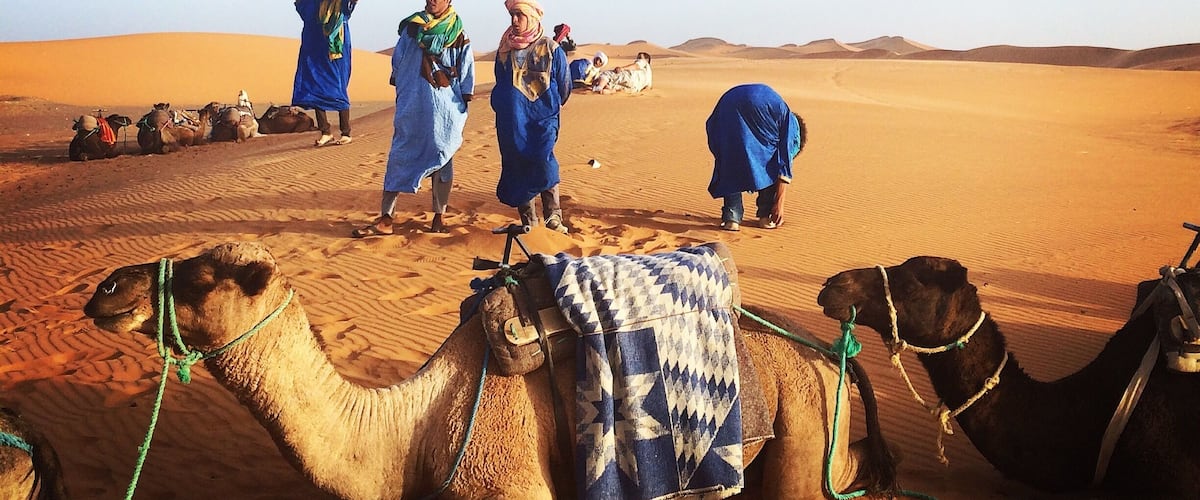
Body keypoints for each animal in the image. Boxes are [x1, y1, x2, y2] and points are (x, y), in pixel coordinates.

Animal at [83, 241, 897, 499]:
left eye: (199, 277)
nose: (106, 290)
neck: (409, 435)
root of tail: (828, 354)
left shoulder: (508, 485)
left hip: (802, 428)